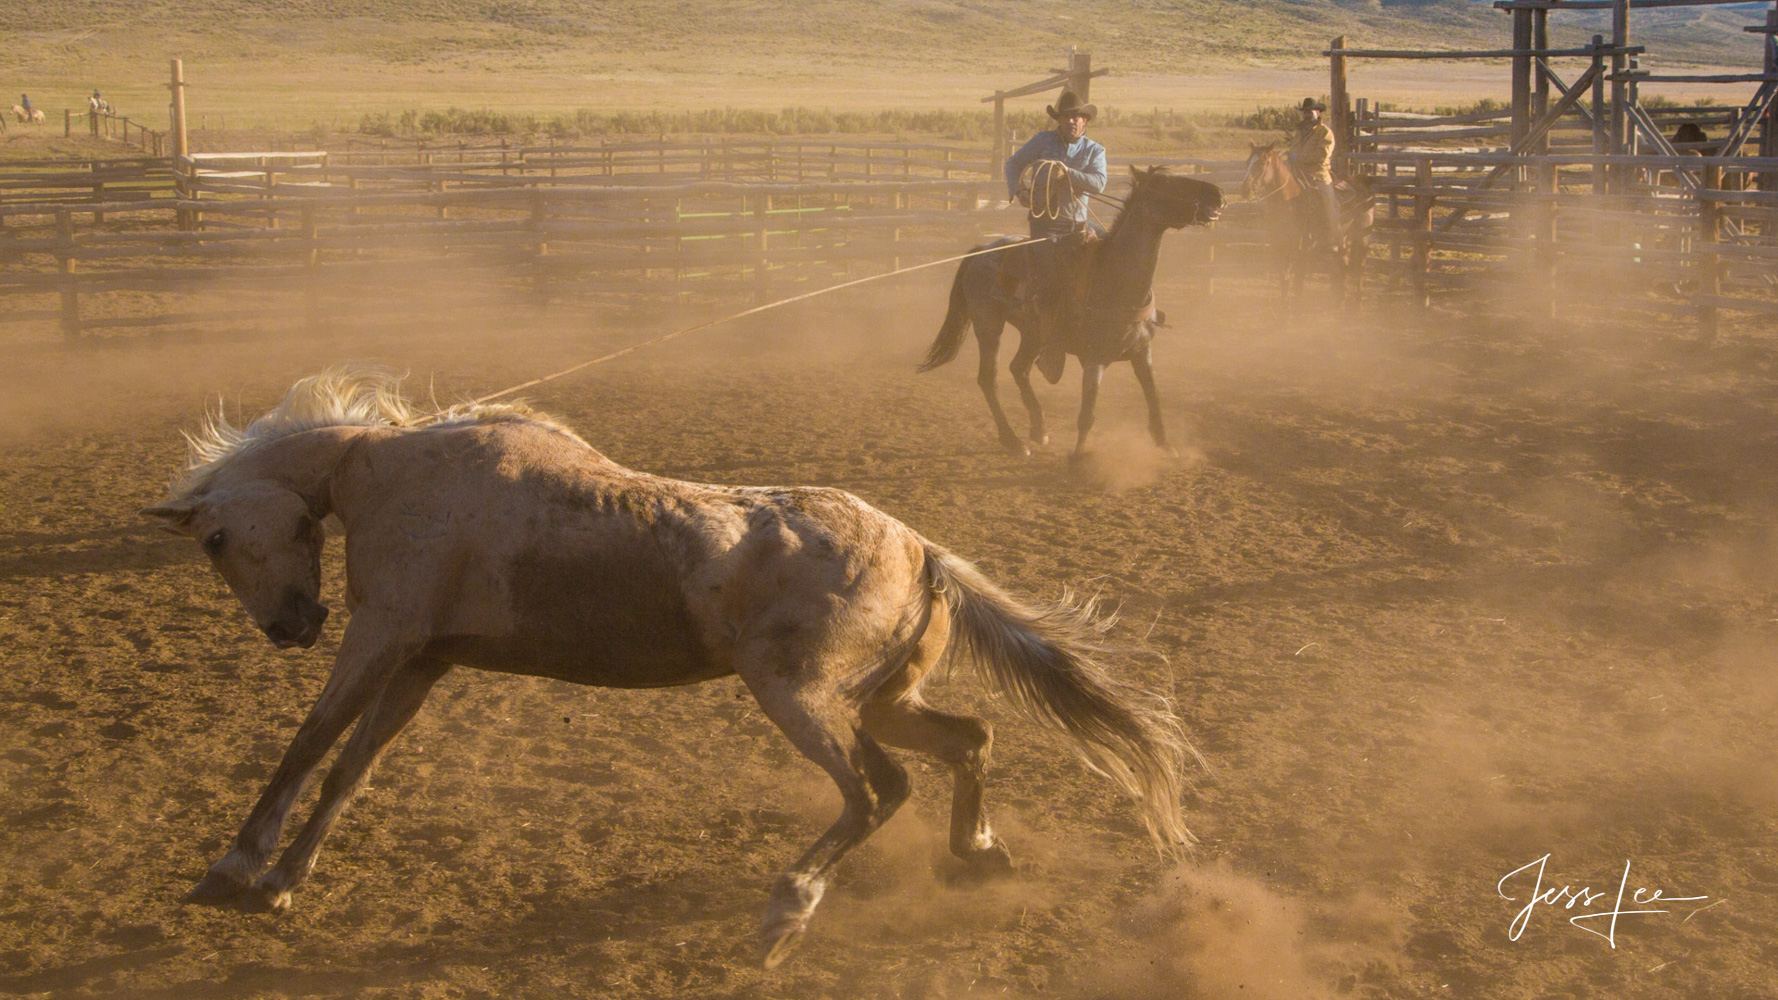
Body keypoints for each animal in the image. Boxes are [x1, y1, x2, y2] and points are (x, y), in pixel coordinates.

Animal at [138, 366, 1194, 967]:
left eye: (217, 540)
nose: (293, 625)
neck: (388, 473)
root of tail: (924, 551)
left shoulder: (381, 636)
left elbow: (308, 744)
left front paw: (235, 866)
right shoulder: (422, 661)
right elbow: (350, 770)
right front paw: (286, 878)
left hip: (800, 698)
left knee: (876, 791)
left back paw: (785, 913)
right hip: (883, 699)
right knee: (967, 739)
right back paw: (976, 852)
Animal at [917, 164, 1223, 459]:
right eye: (1168, 184)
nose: (1218, 193)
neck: (1116, 279)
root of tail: (980, 251)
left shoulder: (1142, 352)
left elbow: (1154, 398)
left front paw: (1165, 445)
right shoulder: (1095, 359)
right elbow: (1088, 410)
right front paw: (1079, 453)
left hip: (1033, 333)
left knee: (1019, 368)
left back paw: (1039, 429)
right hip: (988, 324)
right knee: (989, 379)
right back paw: (1013, 441)